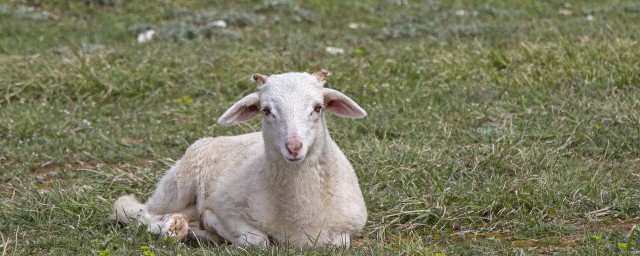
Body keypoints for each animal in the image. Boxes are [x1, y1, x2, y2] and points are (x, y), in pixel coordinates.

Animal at [112, 70, 368, 248]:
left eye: (318, 107)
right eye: (266, 110)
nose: (294, 147)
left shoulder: (348, 228)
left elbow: (340, 242)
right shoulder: (228, 208)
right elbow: (258, 241)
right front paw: (212, 223)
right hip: (178, 183)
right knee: (139, 213)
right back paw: (173, 227)